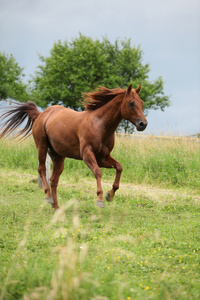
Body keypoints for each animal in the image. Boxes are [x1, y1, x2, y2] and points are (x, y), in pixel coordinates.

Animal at [0, 83, 147, 210]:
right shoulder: (87, 154)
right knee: (42, 170)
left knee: (54, 179)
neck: (100, 124)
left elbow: (119, 167)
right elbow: (98, 172)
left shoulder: (103, 157)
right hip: (42, 147)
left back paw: (56, 207)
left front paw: (110, 195)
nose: (143, 124)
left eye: (141, 103)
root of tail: (42, 114)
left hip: (58, 156)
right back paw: (48, 197)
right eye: (131, 103)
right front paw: (100, 200)